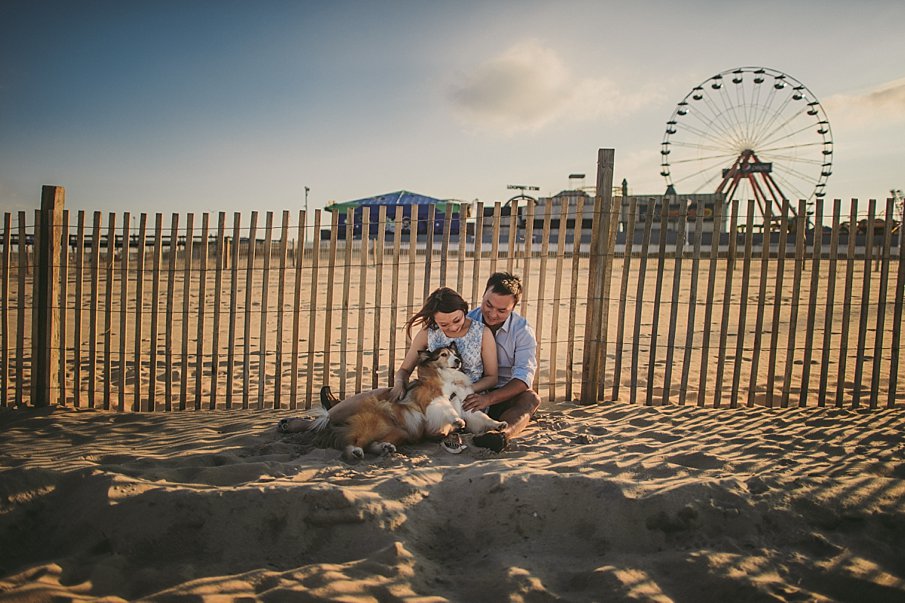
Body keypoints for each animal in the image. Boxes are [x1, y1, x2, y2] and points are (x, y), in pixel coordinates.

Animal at [282, 346, 504, 460]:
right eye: (443, 355)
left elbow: (481, 417)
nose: (458, 360)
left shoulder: (466, 404)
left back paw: (385, 448)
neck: (449, 378)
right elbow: (448, 409)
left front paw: (498, 424)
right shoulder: (433, 401)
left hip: (399, 432)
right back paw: (355, 451)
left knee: (371, 444)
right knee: (349, 441)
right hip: (369, 425)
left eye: (455, 354)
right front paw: (457, 422)